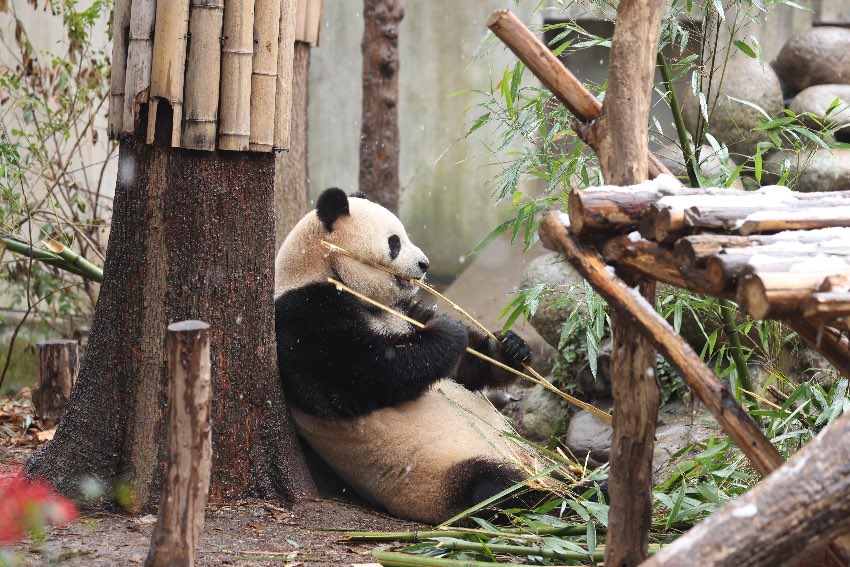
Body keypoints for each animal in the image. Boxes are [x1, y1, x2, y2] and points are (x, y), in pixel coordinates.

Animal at [274, 189, 548, 524]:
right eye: (394, 242)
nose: (424, 264)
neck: (319, 269)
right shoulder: (305, 320)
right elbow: (372, 373)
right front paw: (449, 331)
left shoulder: (402, 311)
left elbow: (462, 371)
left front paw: (510, 348)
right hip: (441, 475)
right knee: (497, 487)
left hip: (523, 452)